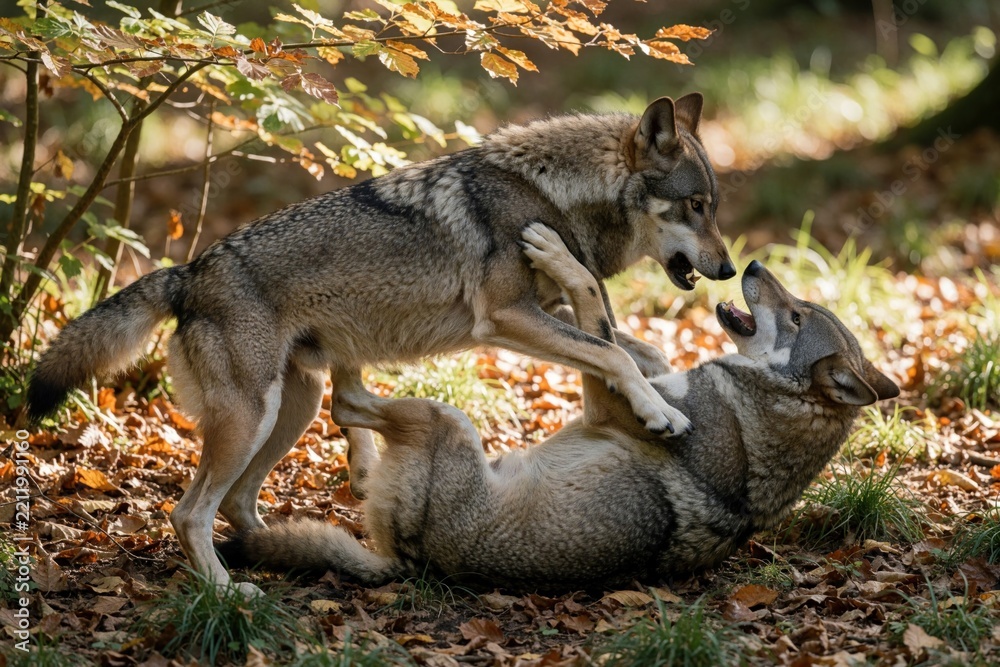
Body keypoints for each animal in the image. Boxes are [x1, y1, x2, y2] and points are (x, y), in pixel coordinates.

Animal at [26, 95, 734, 594]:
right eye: (695, 205)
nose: (728, 270)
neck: (553, 195)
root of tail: (188, 273)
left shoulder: (553, 312)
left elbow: (637, 352)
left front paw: (655, 402)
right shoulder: (508, 319)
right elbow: (614, 352)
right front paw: (662, 416)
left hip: (293, 408)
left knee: (240, 500)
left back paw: (291, 551)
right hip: (255, 418)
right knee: (190, 513)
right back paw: (231, 594)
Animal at [217, 223, 899, 589]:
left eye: (796, 316)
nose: (752, 263)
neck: (756, 402)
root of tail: (407, 565)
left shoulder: (606, 410)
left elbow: (597, 315)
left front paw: (555, 255)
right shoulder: (633, 381)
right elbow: (621, 337)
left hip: (449, 421)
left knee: (350, 404)